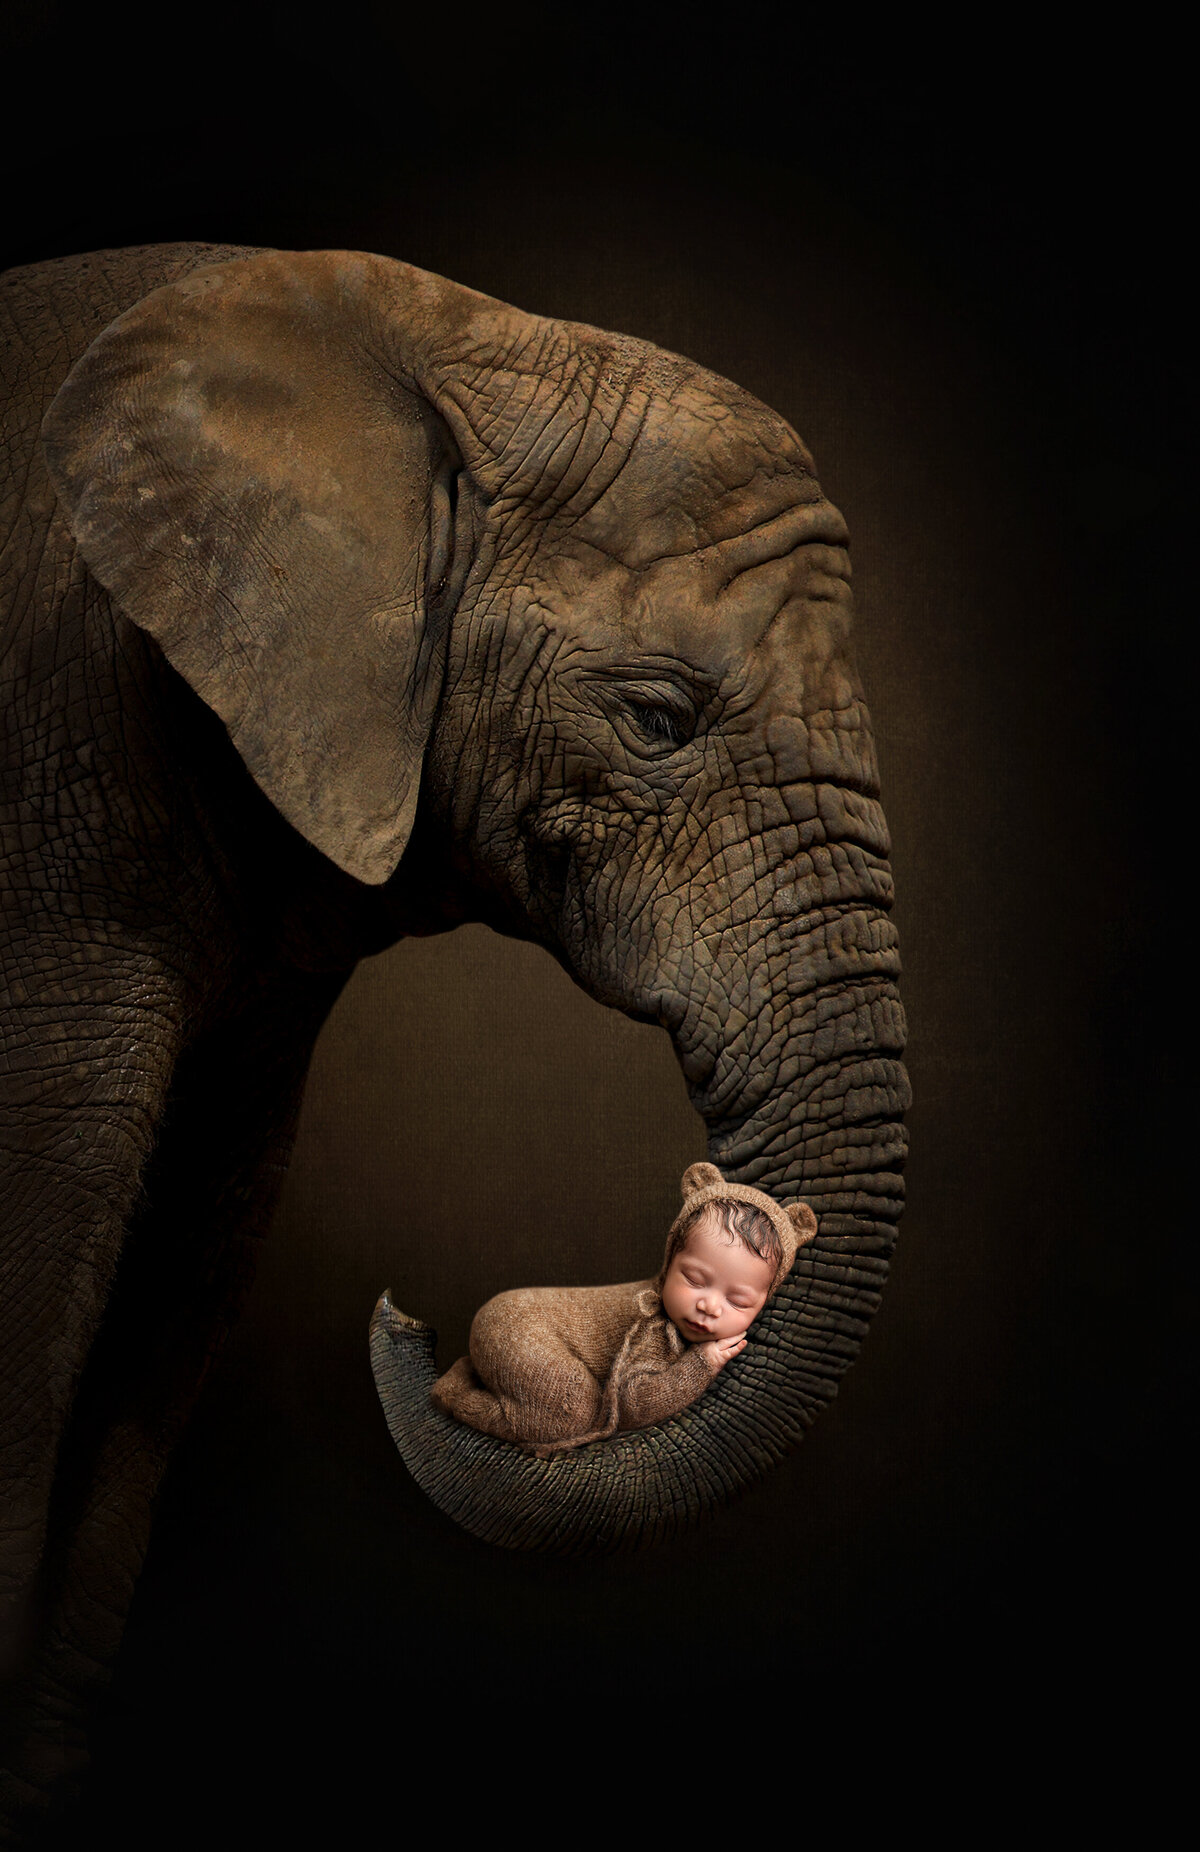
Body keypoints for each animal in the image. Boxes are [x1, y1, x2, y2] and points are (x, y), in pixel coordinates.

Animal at [0, 235, 903, 1807]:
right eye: (656, 720)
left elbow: (186, 1253)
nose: (418, 1321)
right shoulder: (64, 769)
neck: (441, 340)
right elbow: (52, 1230)